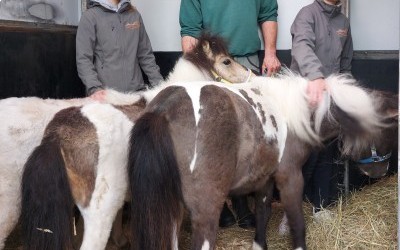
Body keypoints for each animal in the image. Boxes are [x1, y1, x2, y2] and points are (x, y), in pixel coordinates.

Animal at [126, 71, 386, 249]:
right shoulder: (290, 177)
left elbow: (263, 213)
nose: (378, 170)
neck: (294, 114)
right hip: (205, 210)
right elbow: (296, 220)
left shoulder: (264, 180)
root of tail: (162, 110)